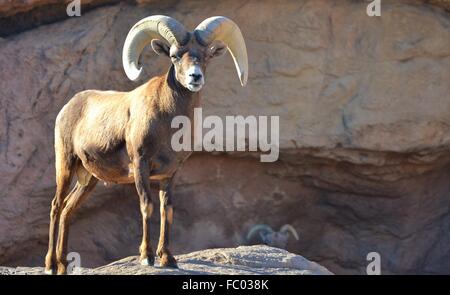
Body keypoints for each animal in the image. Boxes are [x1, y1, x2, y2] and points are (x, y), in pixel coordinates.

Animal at [44, 15, 250, 276]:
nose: (195, 77)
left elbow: (166, 210)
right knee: (56, 206)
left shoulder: (170, 173)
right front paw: (147, 257)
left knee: (68, 210)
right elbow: (147, 206)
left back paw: (62, 265)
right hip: (66, 164)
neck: (168, 121)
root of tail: (68, 106)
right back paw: (51, 265)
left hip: (88, 179)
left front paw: (168, 258)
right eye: (174, 55)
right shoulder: (140, 165)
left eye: (205, 56)